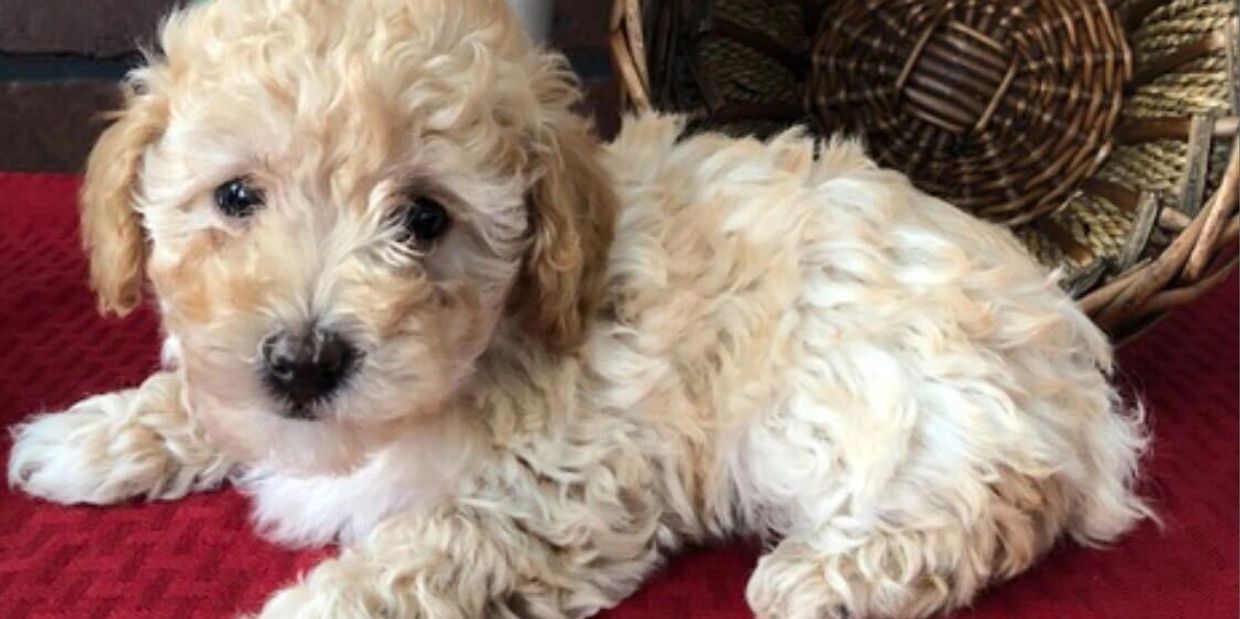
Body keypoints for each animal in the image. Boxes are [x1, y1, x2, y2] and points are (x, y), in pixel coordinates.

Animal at [9, 2, 1150, 617]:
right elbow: (200, 396)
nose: (304, 361)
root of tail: (1063, 346)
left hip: (894, 389)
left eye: (423, 218)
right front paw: (88, 434)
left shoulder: (561, 495)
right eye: (237, 197)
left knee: (997, 499)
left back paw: (828, 572)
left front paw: (314, 599)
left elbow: (424, 548)